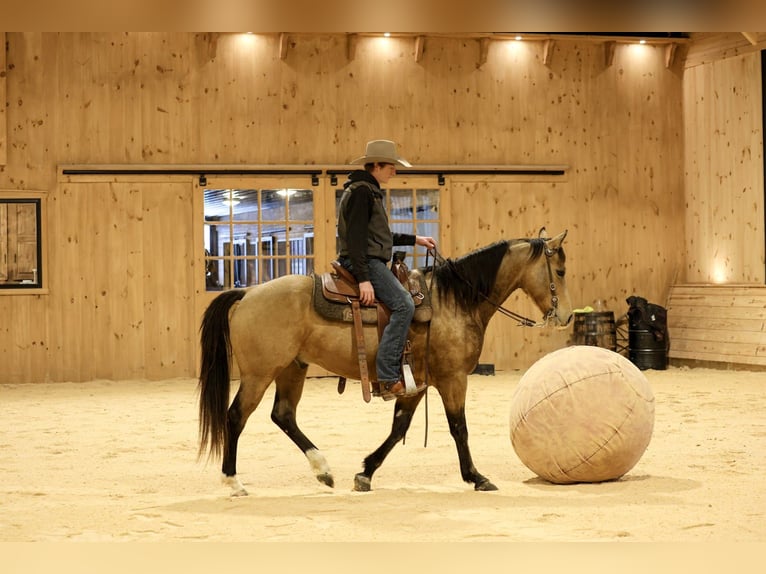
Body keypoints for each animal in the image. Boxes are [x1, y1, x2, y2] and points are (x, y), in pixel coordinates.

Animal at [197, 229, 572, 496]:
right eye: (561, 270)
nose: (566, 316)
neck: (453, 302)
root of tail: (247, 294)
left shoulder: (415, 383)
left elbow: (398, 429)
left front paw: (365, 472)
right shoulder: (453, 378)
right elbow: (459, 428)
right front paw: (476, 477)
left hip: (292, 368)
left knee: (283, 415)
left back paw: (323, 470)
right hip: (260, 374)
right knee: (236, 417)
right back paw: (233, 481)